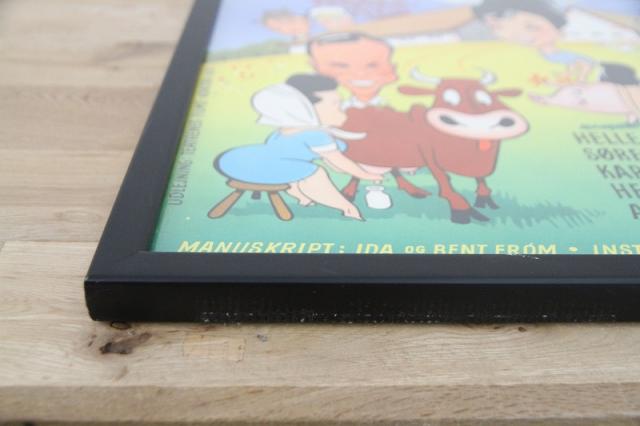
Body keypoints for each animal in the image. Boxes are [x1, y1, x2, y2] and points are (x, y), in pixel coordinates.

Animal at [340, 69, 529, 224]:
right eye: (446, 98)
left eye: (486, 97)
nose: (482, 124)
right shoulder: (427, 152)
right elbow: (443, 178)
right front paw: (460, 207)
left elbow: (481, 178)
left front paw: (484, 197)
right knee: (357, 173)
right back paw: (348, 192)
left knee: (392, 169)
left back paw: (412, 189)